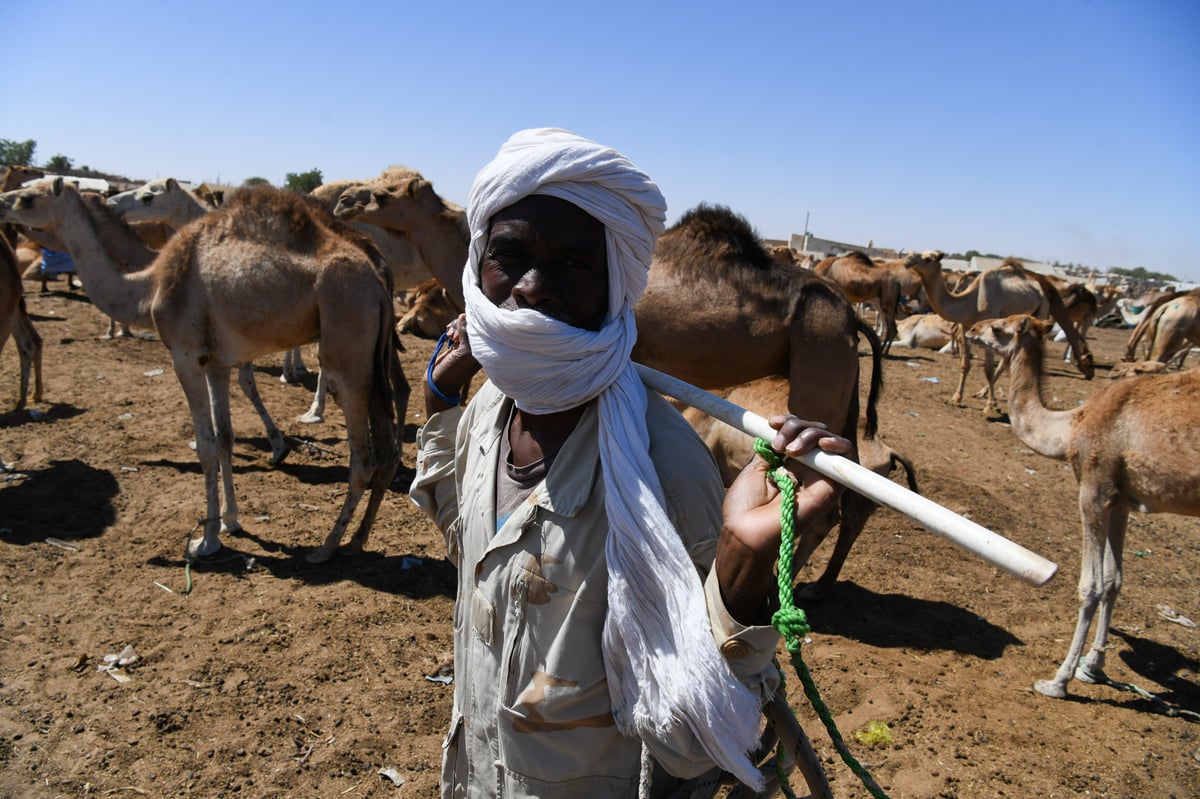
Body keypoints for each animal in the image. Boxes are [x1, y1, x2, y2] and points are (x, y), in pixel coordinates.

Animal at [0, 176, 408, 559]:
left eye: (28, 198)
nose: (3, 203)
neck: (148, 287)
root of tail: (378, 281)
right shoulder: (217, 363)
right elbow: (225, 437)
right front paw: (230, 521)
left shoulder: (185, 355)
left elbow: (207, 447)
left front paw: (206, 540)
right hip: (370, 355)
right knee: (386, 446)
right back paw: (356, 540)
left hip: (347, 341)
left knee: (363, 456)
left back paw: (325, 547)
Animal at [902, 251, 1094, 412]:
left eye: (929, 258)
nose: (908, 258)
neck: (970, 302)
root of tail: (1040, 288)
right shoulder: (966, 328)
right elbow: (965, 364)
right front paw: (956, 398)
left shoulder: (987, 330)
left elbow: (988, 369)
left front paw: (990, 405)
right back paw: (983, 393)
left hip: (1041, 311)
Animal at [964, 311, 1200, 695]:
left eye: (999, 327)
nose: (971, 328)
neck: (1071, 425)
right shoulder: (1121, 500)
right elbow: (1114, 580)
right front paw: (1094, 666)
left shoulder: (1093, 489)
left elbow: (1091, 585)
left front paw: (1059, 679)